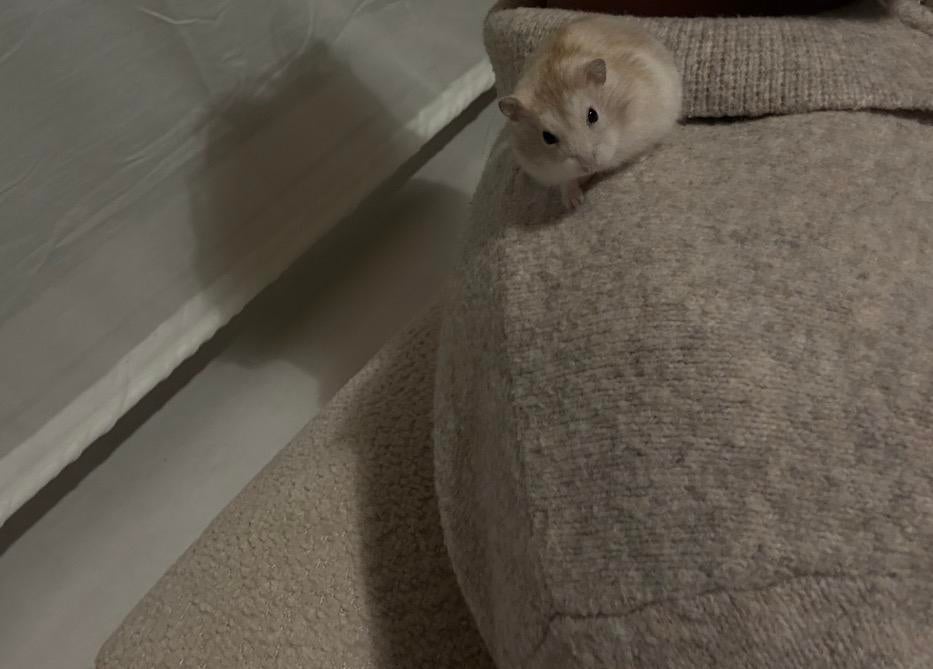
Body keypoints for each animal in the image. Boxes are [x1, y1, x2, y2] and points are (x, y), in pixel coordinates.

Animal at [498, 16, 682, 209]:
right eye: (547, 137)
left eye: (593, 115)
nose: (590, 166)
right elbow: (567, 181)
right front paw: (574, 203)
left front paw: (639, 158)